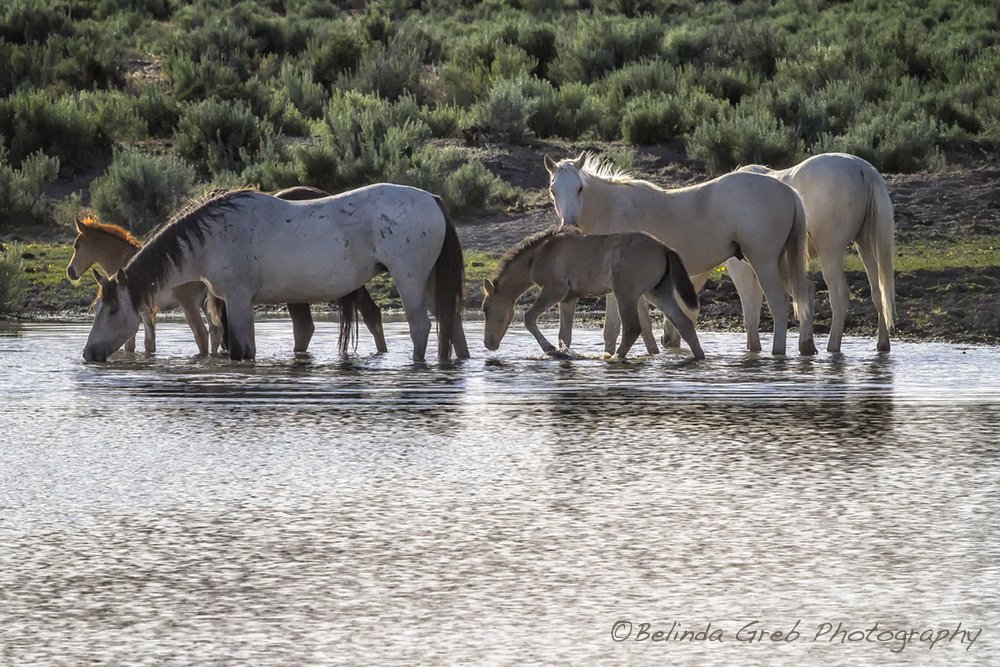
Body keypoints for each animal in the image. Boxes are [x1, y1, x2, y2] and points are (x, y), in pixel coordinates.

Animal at [67, 216, 222, 355]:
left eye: (76, 246)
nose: (70, 271)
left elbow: (131, 345)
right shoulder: (146, 311)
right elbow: (149, 343)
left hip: (189, 305)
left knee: (201, 334)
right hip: (205, 304)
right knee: (216, 332)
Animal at [83, 185, 468, 363]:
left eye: (113, 309)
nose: (88, 353)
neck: (213, 237)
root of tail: (433, 199)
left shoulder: (238, 299)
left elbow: (241, 350)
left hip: (410, 279)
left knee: (421, 327)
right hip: (432, 280)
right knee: (450, 323)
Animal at [482, 226, 705, 360]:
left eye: (486, 308)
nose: (488, 344)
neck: (538, 256)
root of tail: (664, 248)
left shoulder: (555, 289)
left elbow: (529, 317)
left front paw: (550, 349)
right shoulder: (569, 297)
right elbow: (565, 334)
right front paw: (563, 353)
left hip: (625, 293)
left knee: (632, 327)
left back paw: (615, 358)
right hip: (658, 293)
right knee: (684, 323)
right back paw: (699, 357)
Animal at [544, 153, 816, 356]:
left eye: (580, 188)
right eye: (553, 190)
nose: (569, 225)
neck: (612, 209)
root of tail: (788, 191)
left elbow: (612, 329)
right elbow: (644, 326)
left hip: (763, 262)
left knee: (778, 305)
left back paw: (778, 353)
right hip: (777, 262)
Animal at [734, 153, 895, 352]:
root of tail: (863, 169)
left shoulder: (745, 269)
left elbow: (750, 311)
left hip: (830, 252)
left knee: (839, 295)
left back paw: (832, 346)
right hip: (864, 243)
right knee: (878, 291)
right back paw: (883, 344)